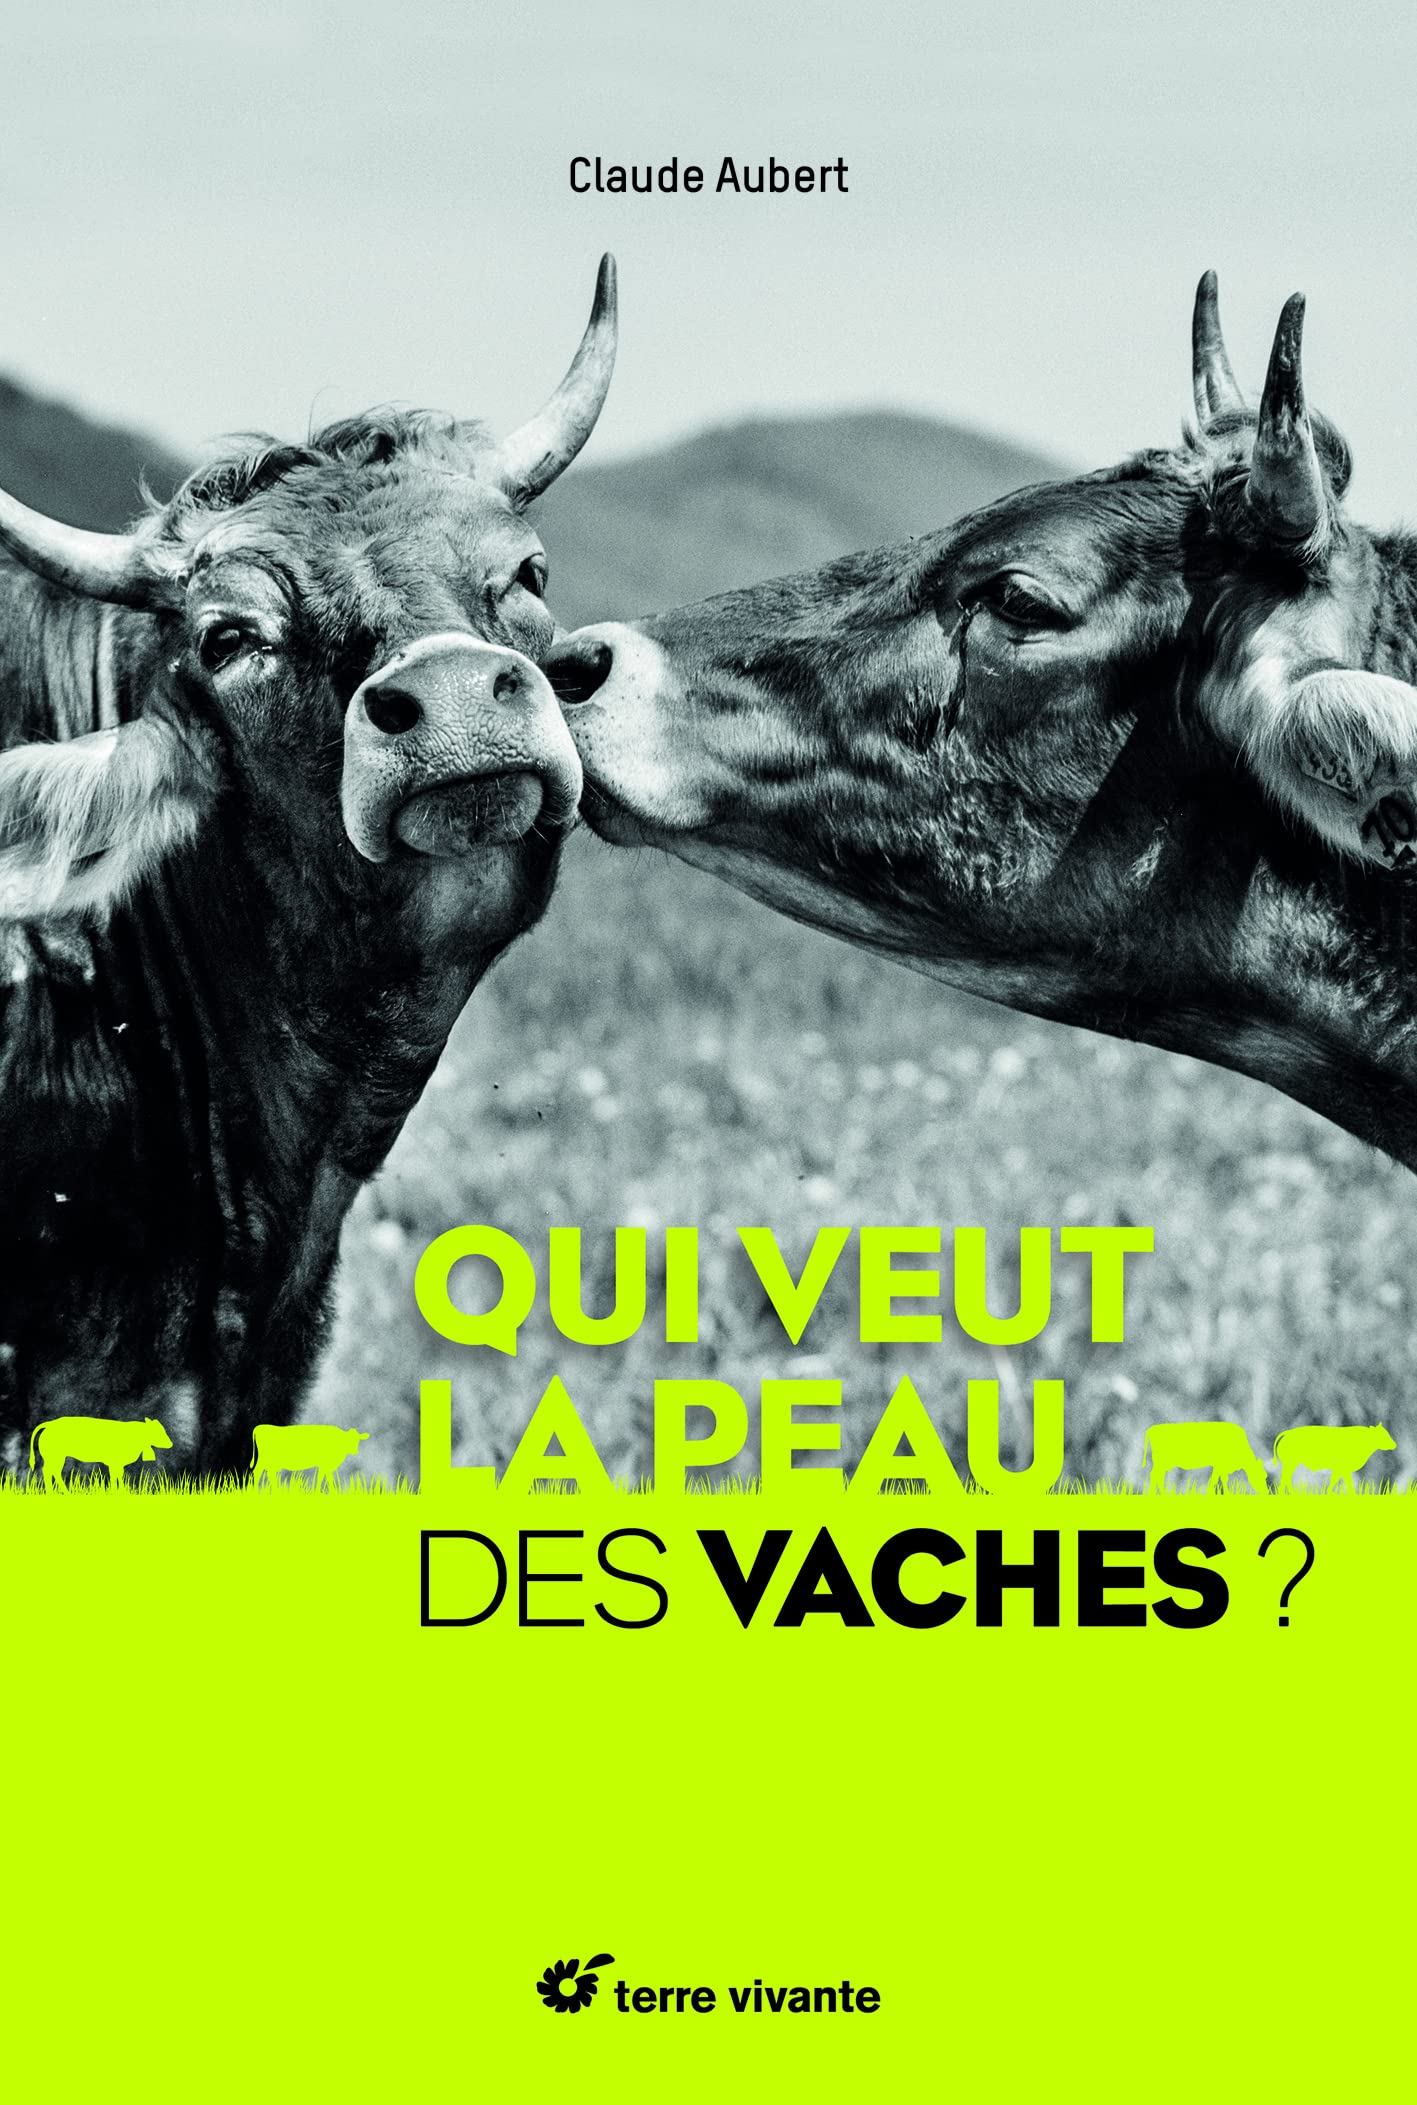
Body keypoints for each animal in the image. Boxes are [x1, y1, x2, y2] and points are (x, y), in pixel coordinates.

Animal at [28, 1414, 173, 1489]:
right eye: (159, 1432)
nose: (171, 1444)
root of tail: (50, 1424)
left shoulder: (118, 1464)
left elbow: (118, 1476)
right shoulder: (114, 1463)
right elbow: (115, 1477)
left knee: (53, 1471)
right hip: (55, 1456)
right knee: (49, 1471)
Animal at [1141, 1422, 1270, 1495]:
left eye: (1265, 1476)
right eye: (1259, 1476)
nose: (1266, 1491)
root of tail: (1153, 1428)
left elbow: (1218, 1480)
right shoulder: (1220, 1465)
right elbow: (1217, 1480)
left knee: (1158, 1476)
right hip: (1162, 1463)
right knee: (1155, 1475)